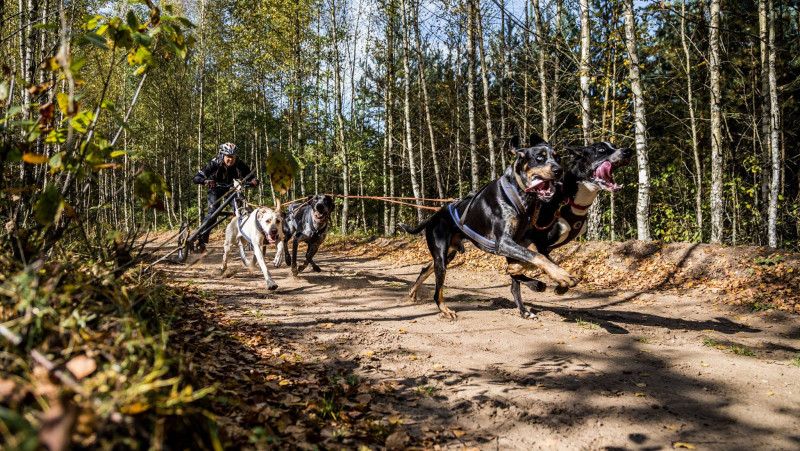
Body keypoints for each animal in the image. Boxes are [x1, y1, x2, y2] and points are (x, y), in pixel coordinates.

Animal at [398, 135, 576, 322]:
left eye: (557, 157)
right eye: (539, 158)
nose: (559, 170)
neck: (518, 193)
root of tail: (434, 216)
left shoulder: (522, 240)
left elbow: (538, 257)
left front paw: (554, 274)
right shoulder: (503, 243)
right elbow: (537, 257)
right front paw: (561, 276)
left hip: (449, 255)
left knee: (426, 269)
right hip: (441, 257)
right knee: (437, 291)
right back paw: (445, 310)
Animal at [510, 141, 636, 318]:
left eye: (614, 145)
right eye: (601, 150)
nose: (628, 151)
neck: (569, 201)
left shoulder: (546, 248)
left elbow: (547, 263)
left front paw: (562, 285)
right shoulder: (533, 241)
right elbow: (535, 261)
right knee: (515, 279)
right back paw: (529, 293)